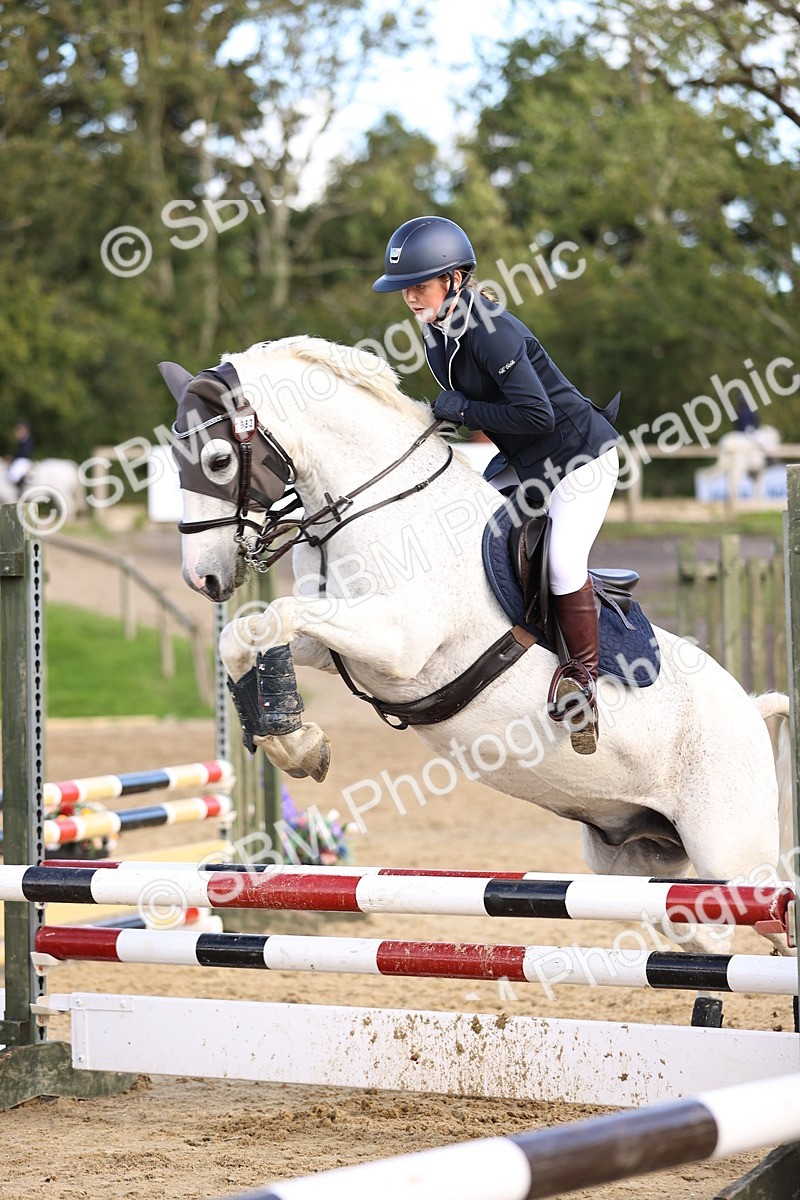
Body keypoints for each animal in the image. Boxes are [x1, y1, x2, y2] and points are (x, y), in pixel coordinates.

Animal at [160, 337, 793, 957]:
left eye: (218, 461)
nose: (203, 578)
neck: (387, 505)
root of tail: (750, 709)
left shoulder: (397, 641)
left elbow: (276, 617)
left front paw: (296, 742)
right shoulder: (340, 643)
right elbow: (246, 632)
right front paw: (295, 742)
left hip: (733, 851)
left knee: (766, 913)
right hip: (634, 860)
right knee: (699, 930)